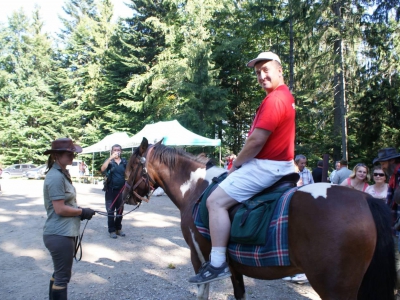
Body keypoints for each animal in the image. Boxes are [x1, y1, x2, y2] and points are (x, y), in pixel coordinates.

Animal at [122, 139, 396, 300]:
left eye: (130, 166)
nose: (124, 196)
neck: (196, 188)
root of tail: (365, 200)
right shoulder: (234, 267)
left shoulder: (199, 257)